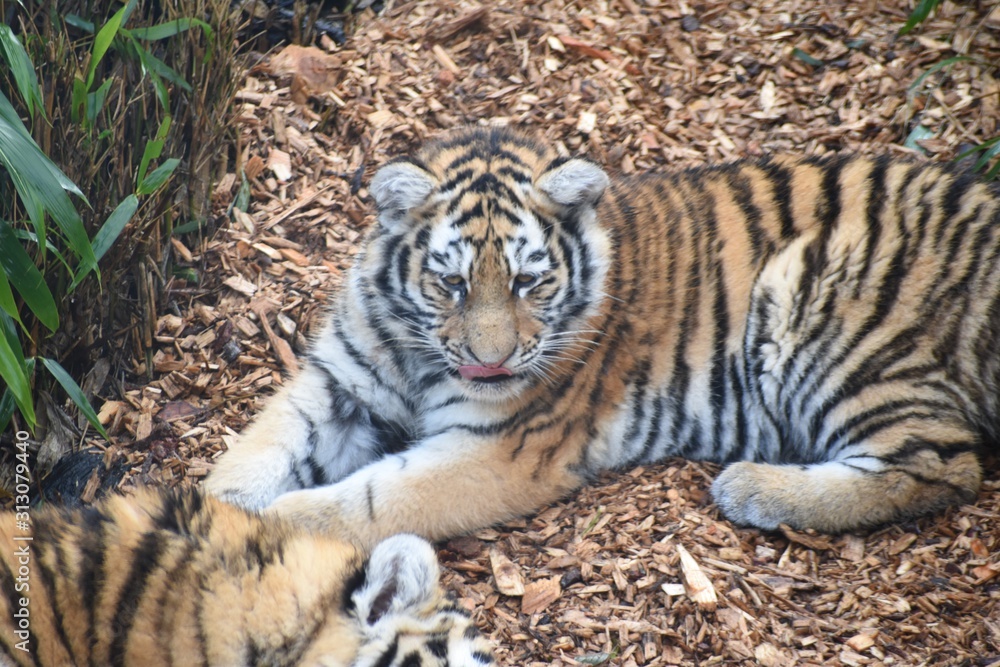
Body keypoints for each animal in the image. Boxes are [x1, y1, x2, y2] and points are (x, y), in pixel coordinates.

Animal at [205, 126, 999, 547]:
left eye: (528, 282)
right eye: (452, 283)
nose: (489, 361)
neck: (416, 351)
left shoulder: (497, 446)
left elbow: (369, 500)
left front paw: (264, 525)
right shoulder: (338, 382)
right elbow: (259, 446)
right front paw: (211, 504)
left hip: (821, 310)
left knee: (941, 463)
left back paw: (750, 487)